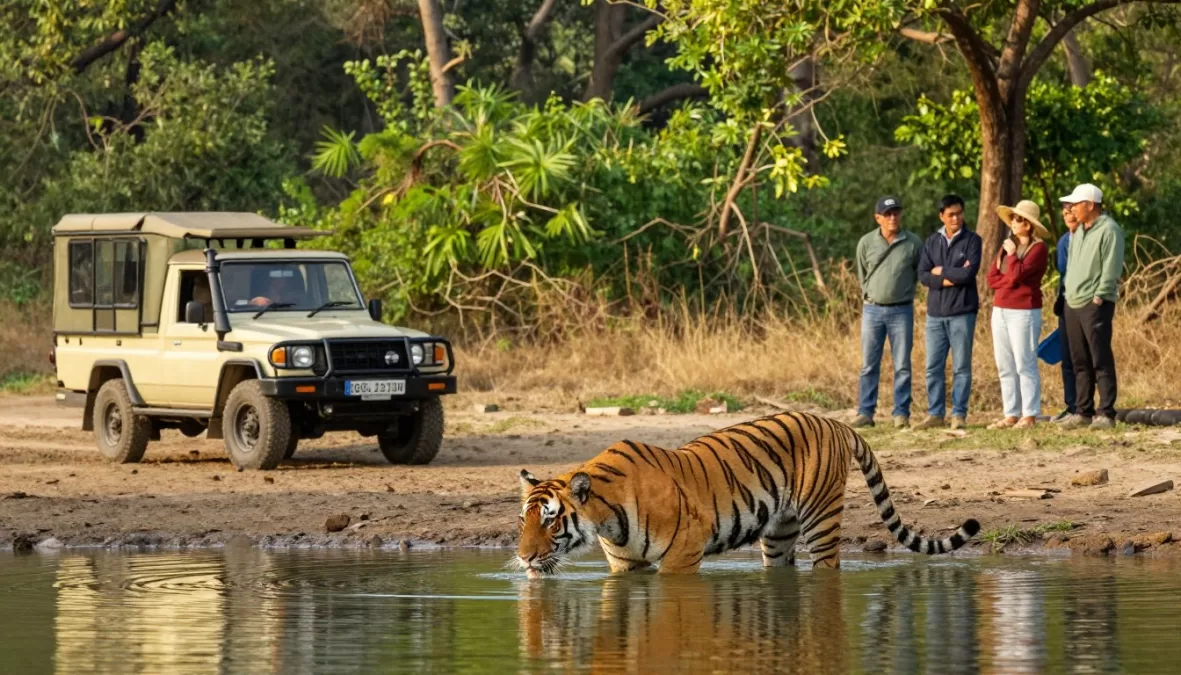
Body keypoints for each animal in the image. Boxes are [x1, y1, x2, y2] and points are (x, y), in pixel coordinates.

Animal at [515, 411, 979, 577]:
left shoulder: (682, 556)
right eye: (523, 521)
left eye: (552, 520)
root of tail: (836, 421)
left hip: (822, 519)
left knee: (827, 567)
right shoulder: (626, 566)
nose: (523, 558)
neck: (606, 519)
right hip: (778, 533)